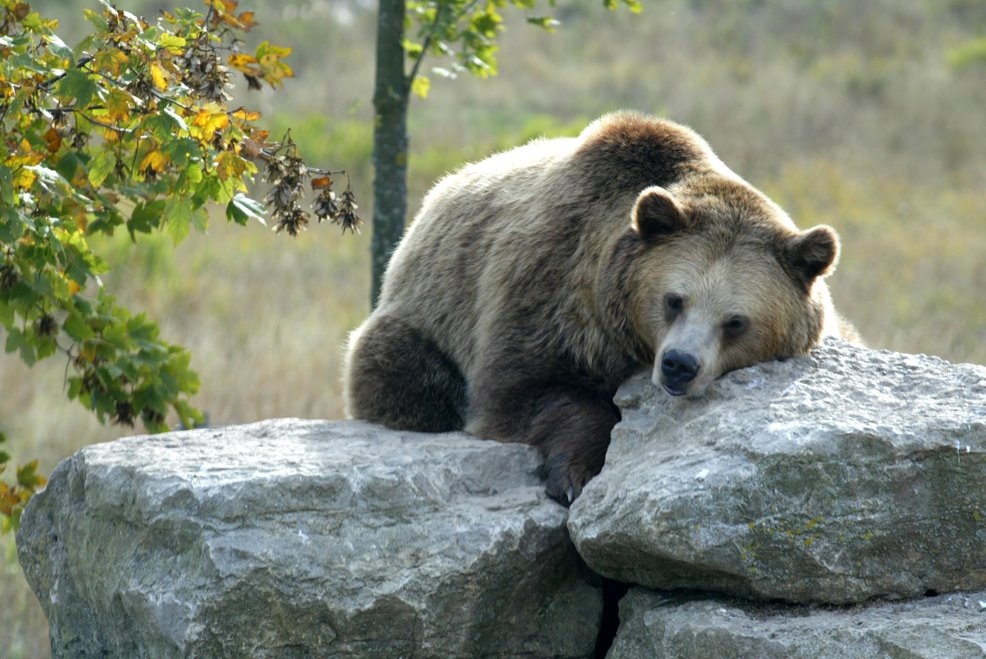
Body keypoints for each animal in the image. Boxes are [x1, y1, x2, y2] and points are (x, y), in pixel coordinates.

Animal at [340, 112, 852, 506]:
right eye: (674, 299)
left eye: (735, 321)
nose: (679, 365)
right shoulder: (548, 289)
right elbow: (522, 390)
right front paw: (573, 474)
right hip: (428, 314)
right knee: (407, 376)